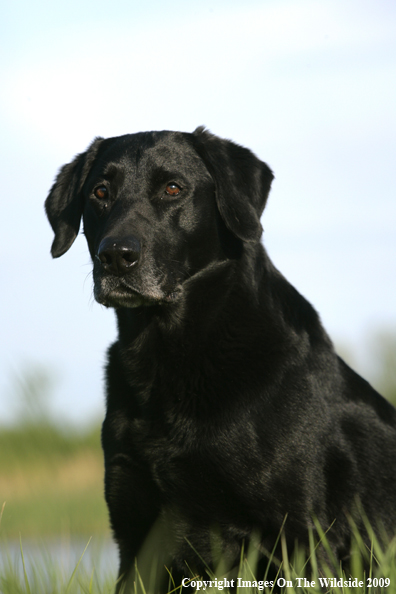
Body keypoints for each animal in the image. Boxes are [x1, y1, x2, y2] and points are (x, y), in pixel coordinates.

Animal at [44, 128, 396, 588]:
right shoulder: (135, 538)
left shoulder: (302, 532)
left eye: (173, 188)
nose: (115, 255)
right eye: (100, 193)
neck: (168, 359)